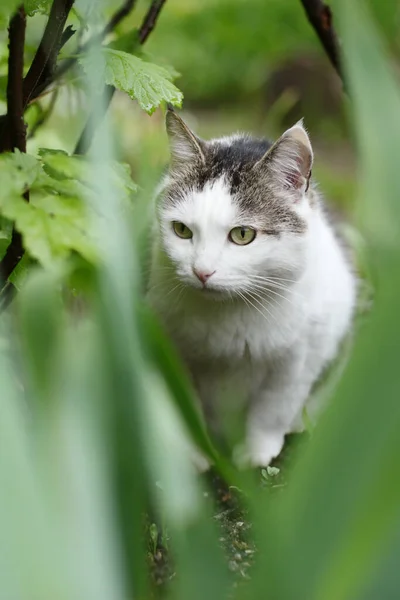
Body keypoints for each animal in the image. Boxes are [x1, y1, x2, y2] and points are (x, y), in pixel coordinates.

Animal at [147, 110, 356, 466]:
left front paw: (257, 456)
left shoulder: (301, 354)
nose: (201, 271)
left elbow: (274, 407)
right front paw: (195, 453)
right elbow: (185, 400)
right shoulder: (169, 346)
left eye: (242, 235)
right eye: (182, 230)